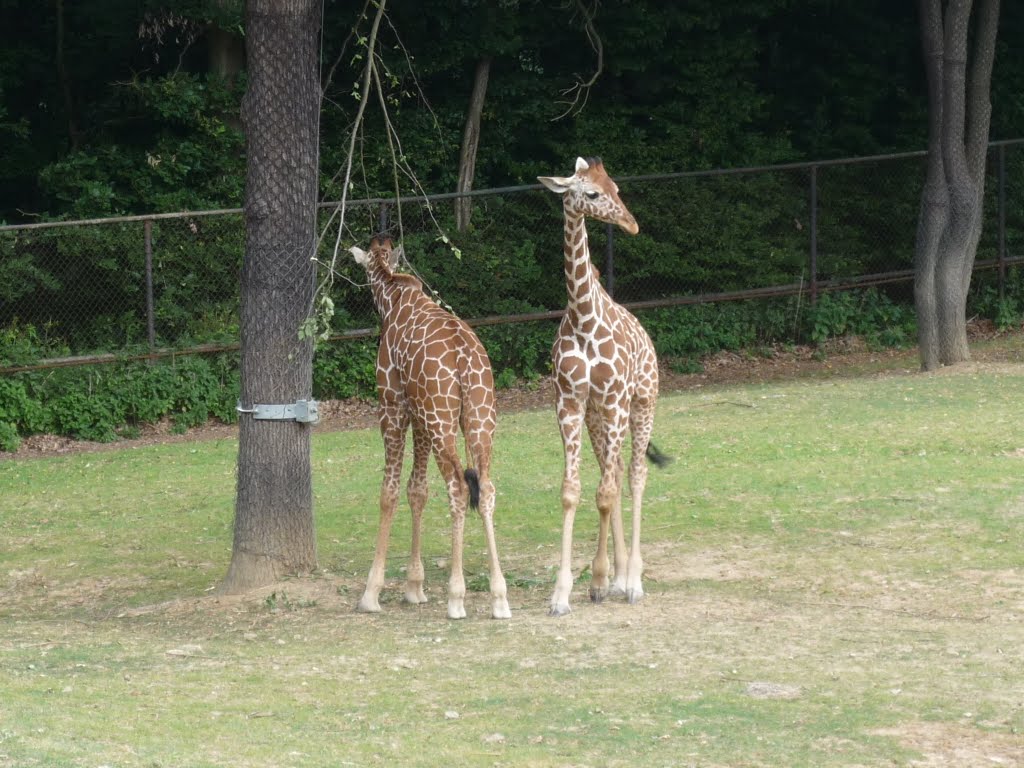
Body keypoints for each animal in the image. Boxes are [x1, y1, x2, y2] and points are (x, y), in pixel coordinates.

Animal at [350, 237, 512, 622]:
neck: (393, 296)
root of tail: (465, 357)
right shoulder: (420, 413)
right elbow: (418, 490)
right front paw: (414, 588)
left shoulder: (393, 405)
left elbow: (390, 491)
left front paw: (372, 593)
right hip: (479, 416)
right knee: (485, 486)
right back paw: (499, 598)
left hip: (442, 419)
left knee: (458, 486)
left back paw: (456, 598)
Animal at [536, 156, 663, 618]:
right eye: (590, 193)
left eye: (617, 188)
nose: (631, 224)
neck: (583, 317)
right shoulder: (570, 404)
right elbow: (573, 492)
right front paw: (565, 592)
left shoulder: (613, 401)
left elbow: (605, 494)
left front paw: (602, 579)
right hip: (600, 418)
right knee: (617, 472)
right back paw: (619, 575)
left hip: (641, 403)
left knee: (635, 475)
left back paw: (633, 580)